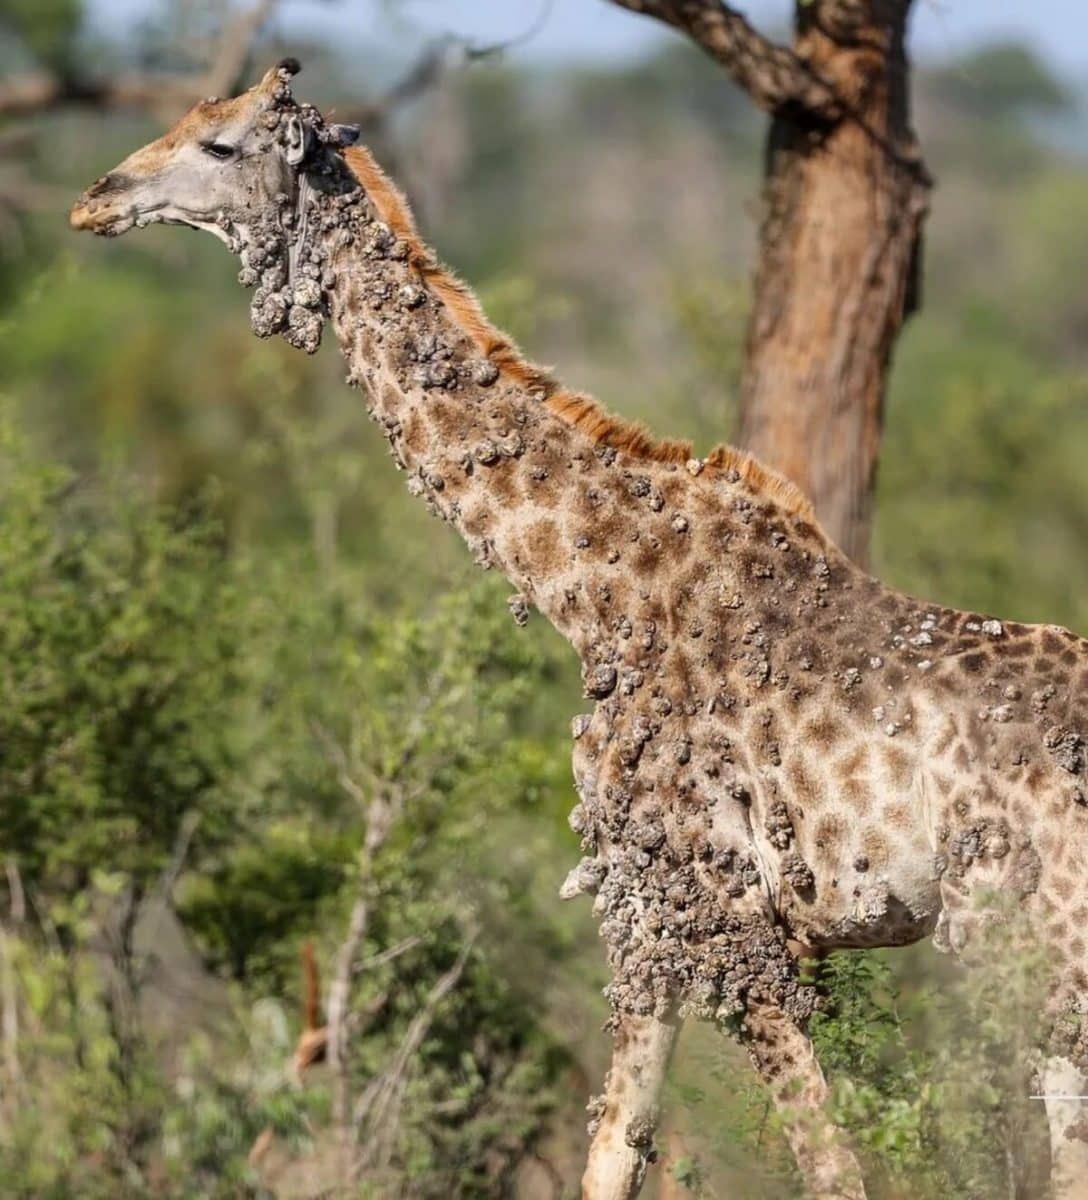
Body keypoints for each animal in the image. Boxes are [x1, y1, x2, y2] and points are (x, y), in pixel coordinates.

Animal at [70, 60, 1088, 1199]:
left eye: (221, 144)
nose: (96, 197)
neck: (590, 591)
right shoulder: (656, 910)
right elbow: (620, 1142)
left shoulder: (699, 900)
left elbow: (805, 1159)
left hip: (1032, 942)